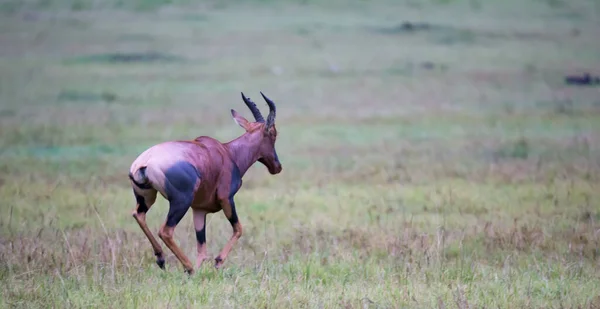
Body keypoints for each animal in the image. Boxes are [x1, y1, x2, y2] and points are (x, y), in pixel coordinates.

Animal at [128, 92, 282, 274]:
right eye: (273, 133)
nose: (277, 167)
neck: (228, 153)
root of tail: (144, 162)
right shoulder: (226, 198)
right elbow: (238, 228)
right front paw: (218, 261)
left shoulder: (199, 209)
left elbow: (202, 249)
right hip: (181, 201)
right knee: (165, 231)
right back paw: (188, 268)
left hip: (147, 197)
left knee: (138, 214)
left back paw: (161, 258)